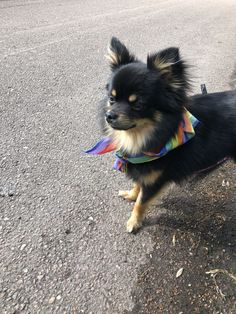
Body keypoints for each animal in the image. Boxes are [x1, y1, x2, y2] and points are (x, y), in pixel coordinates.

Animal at [90, 37, 234, 233]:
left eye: (138, 105)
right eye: (112, 99)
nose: (109, 116)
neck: (140, 138)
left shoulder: (155, 181)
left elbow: (141, 203)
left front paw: (134, 222)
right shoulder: (141, 169)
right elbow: (137, 184)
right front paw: (131, 194)